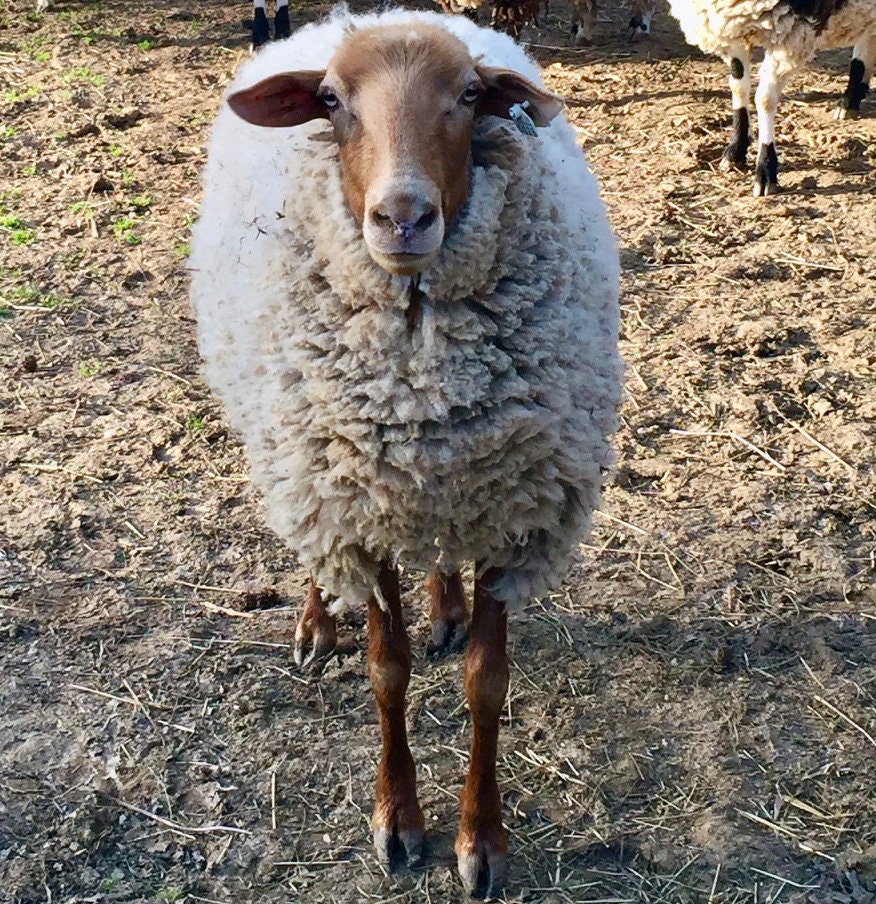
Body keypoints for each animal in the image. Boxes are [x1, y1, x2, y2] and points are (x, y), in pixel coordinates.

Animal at [188, 8, 622, 896]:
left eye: (471, 94)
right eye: (330, 100)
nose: (403, 217)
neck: (421, 367)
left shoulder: (511, 506)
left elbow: (486, 683)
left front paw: (480, 840)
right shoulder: (360, 507)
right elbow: (387, 671)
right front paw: (398, 821)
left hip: (445, 480)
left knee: (441, 552)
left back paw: (445, 604)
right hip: (305, 466)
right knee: (317, 552)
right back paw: (318, 620)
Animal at [665, 0, 876, 195]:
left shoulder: (790, 32)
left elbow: (764, 99)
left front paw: (765, 170)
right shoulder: (731, 27)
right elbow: (738, 86)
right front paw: (736, 150)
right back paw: (849, 102)